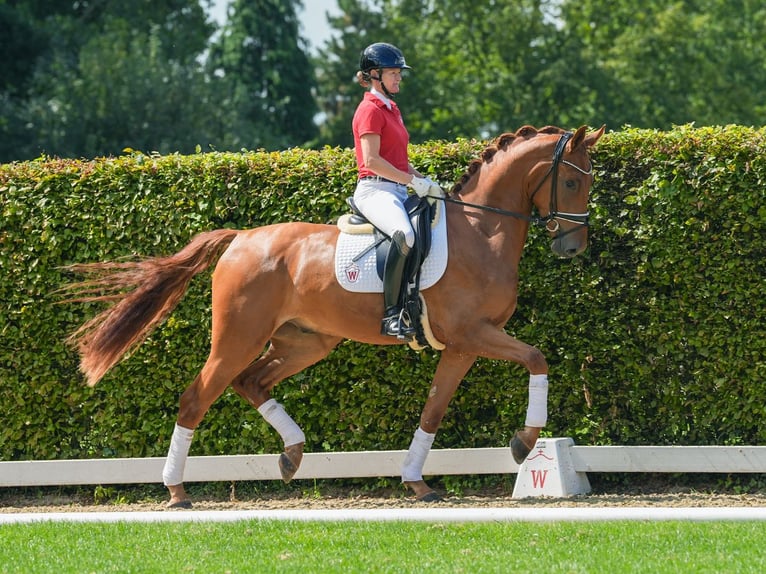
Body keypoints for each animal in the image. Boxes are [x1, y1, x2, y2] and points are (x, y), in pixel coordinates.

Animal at [66, 125, 608, 508]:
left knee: (252, 381)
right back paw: (177, 492)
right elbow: (536, 358)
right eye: (571, 180)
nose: (573, 246)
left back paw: (291, 455)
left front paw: (417, 482)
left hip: (305, 342)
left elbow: (433, 410)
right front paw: (524, 442)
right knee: (197, 397)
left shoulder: (460, 345)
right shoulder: (474, 333)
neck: (481, 230)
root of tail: (242, 238)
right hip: (238, 337)